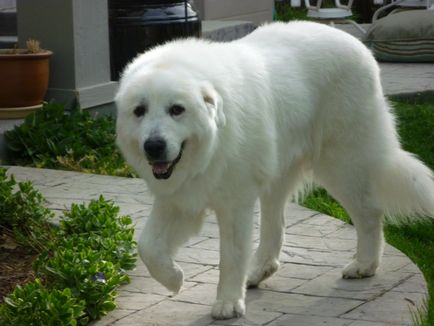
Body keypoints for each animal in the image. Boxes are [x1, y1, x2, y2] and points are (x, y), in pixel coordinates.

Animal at [115, 21, 434, 320]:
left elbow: (231, 256)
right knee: (275, 225)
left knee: (369, 213)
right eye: (139, 111)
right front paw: (174, 279)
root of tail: (356, 43)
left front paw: (228, 303)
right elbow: (148, 246)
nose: (153, 146)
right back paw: (258, 272)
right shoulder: (179, 198)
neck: (211, 143)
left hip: (341, 163)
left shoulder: (234, 204)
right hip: (279, 172)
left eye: (177, 110)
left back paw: (365, 265)